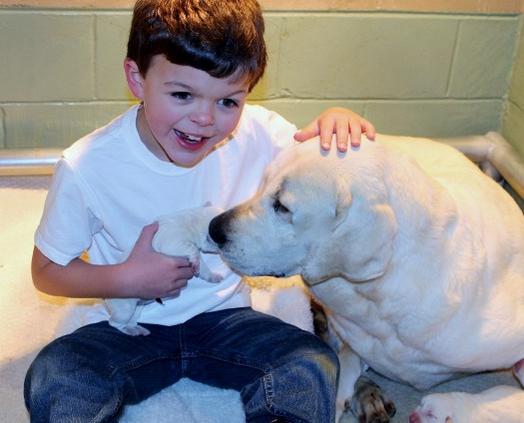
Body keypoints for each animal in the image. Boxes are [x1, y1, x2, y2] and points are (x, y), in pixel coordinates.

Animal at [105, 206, 222, 338]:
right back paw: (129, 330)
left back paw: (137, 328)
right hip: (125, 310)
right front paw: (196, 262)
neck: (192, 221)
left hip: (136, 309)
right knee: (114, 323)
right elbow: (193, 250)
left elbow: (203, 268)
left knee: (131, 321)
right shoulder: (174, 244)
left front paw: (211, 275)